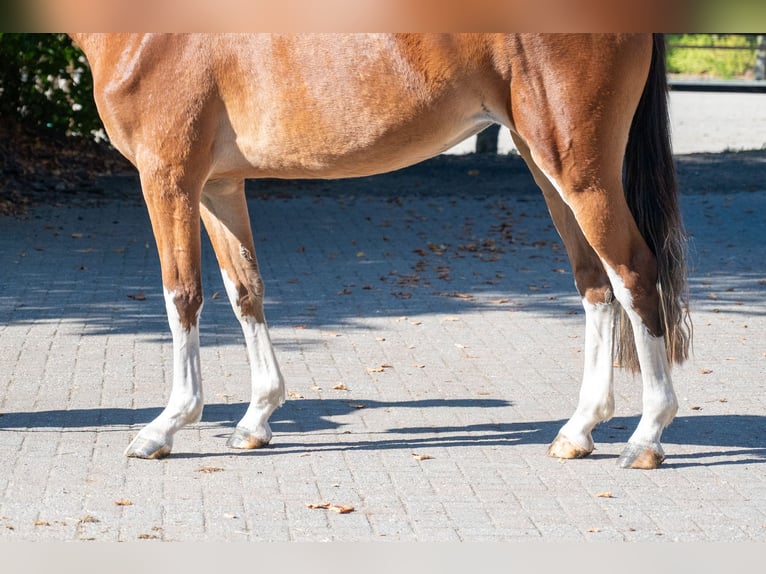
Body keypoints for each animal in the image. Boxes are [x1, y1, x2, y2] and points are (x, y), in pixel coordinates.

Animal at [70, 33, 691, 469]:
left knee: (634, 274)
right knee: (595, 283)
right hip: (546, 165)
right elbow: (245, 290)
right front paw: (256, 419)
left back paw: (646, 438)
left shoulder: (168, 177)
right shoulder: (218, 187)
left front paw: (164, 427)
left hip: (580, 172)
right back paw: (578, 431)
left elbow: (182, 295)